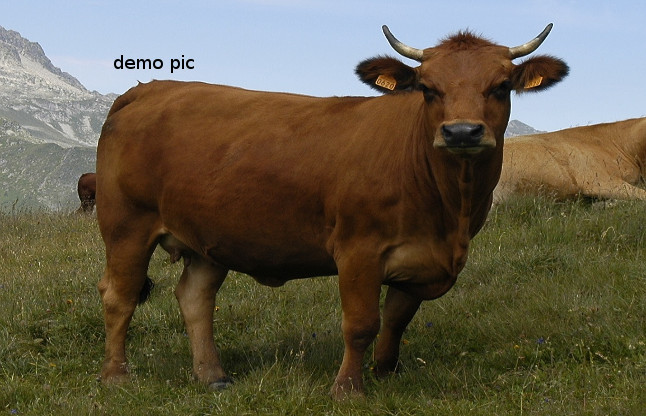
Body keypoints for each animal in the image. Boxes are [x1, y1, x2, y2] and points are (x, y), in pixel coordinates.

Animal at [95, 24, 568, 398]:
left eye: (501, 86)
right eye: (428, 88)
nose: (462, 132)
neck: (451, 214)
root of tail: (149, 89)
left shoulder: (420, 259)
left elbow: (396, 319)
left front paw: (385, 372)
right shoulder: (358, 249)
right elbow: (360, 323)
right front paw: (348, 388)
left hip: (208, 237)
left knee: (195, 297)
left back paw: (213, 375)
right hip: (127, 225)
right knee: (119, 296)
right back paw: (116, 376)